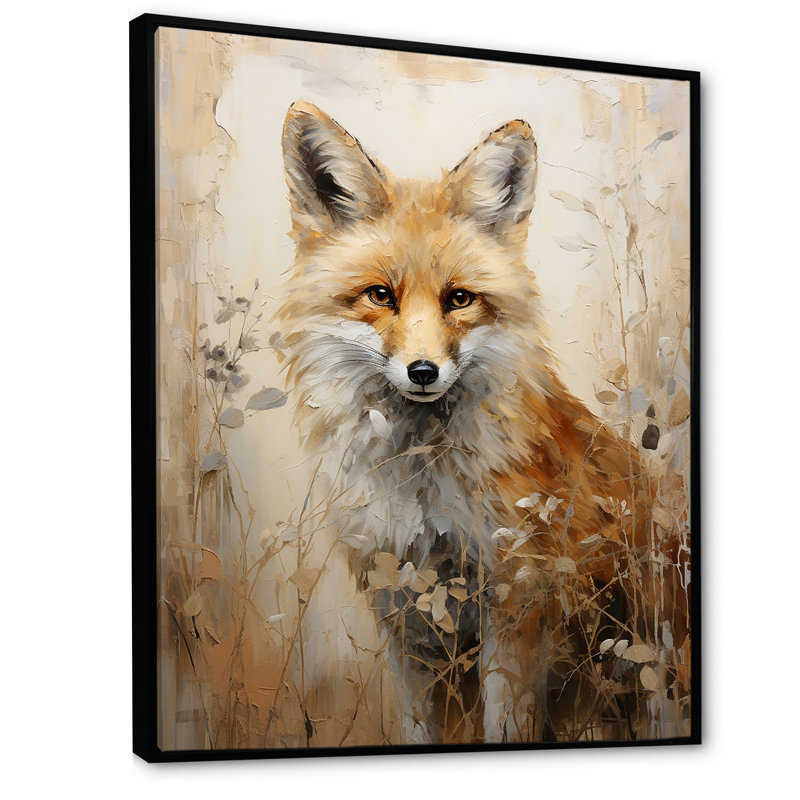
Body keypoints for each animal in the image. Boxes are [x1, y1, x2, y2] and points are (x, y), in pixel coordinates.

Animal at [277, 101, 688, 744]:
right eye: (380, 295)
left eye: (460, 299)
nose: (423, 371)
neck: (422, 486)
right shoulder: (401, 610)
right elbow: (418, 727)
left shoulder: (516, 600)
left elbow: (506, 725)